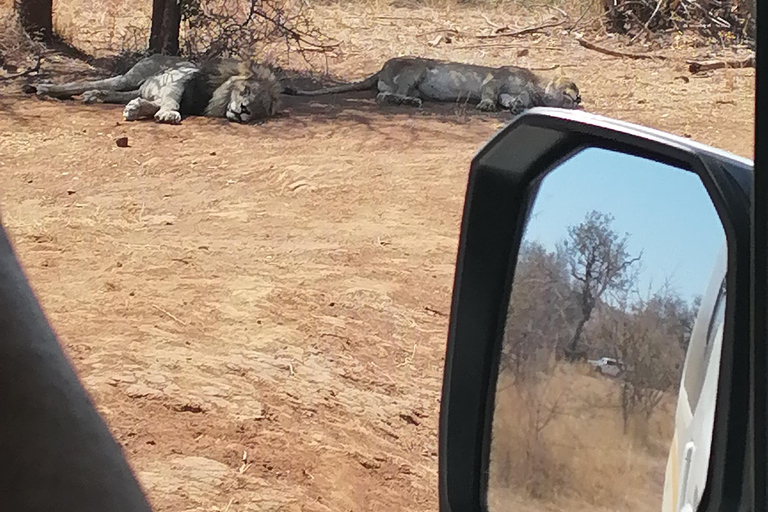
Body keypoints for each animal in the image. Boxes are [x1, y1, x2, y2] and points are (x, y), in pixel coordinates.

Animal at [30, 54, 282, 125]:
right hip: (131, 77)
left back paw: (94, 97)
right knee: (92, 83)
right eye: (246, 90)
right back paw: (45, 89)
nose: (244, 109)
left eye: (259, 107)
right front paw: (169, 114)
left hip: (137, 87)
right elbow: (171, 102)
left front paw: (136, 109)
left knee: (116, 94)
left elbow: (153, 105)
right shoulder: (177, 82)